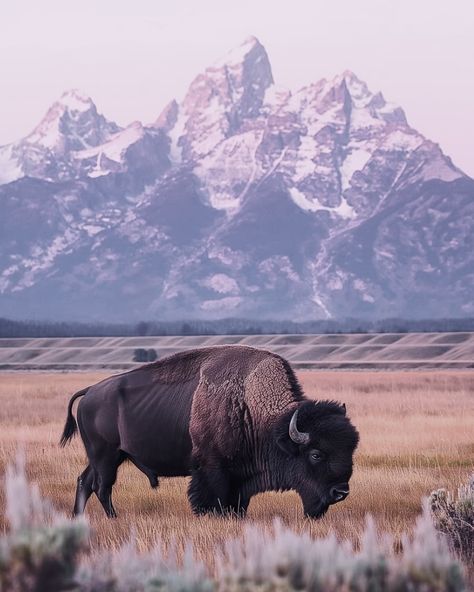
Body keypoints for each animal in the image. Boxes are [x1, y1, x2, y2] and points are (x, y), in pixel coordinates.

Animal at [62, 346, 360, 520]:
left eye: (350, 449)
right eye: (316, 454)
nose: (341, 492)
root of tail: (90, 391)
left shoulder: (240, 478)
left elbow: (238, 504)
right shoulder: (213, 470)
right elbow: (211, 499)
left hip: (106, 457)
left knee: (85, 481)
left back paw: (79, 518)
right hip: (106, 457)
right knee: (102, 487)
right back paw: (114, 518)